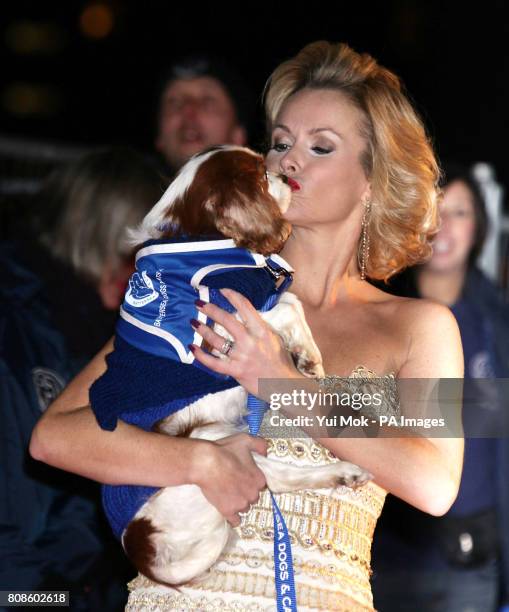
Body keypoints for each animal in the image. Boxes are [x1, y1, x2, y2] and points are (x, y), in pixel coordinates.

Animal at [121, 146, 372, 584]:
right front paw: (310, 359)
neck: (202, 238)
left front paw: (304, 355)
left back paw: (347, 472)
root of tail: (143, 549)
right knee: (275, 478)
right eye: (260, 174)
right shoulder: (216, 322)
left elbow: (290, 301)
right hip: (211, 449)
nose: (287, 177)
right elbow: (289, 306)